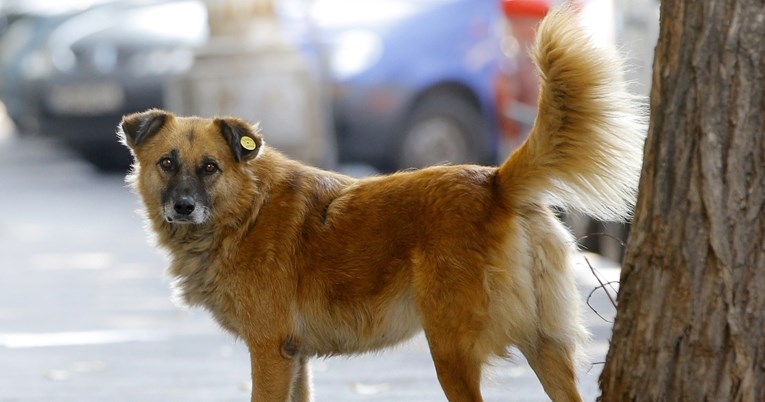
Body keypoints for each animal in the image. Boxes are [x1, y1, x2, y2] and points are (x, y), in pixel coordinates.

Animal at [119, 7, 644, 402]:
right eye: (167, 163)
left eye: (209, 167)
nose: (183, 207)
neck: (246, 212)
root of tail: (494, 181)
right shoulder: (295, 357)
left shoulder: (269, 351)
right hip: (544, 347)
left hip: (451, 352)